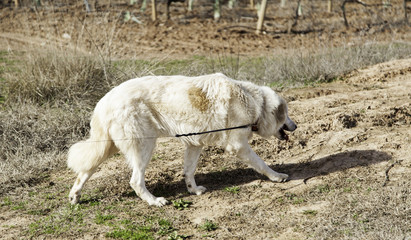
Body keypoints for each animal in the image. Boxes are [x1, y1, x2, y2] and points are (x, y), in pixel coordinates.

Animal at [69, 73, 298, 206]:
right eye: (286, 114)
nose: (295, 126)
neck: (255, 103)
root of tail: (104, 101)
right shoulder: (239, 146)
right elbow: (262, 164)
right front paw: (277, 176)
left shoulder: (194, 144)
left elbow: (189, 171)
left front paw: (193, 190)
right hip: (144, 146)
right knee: (135, 181)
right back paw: (154, 201)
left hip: (107, 148)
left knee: (84, 173)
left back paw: (74, 197)